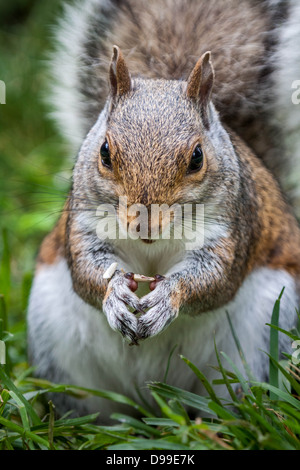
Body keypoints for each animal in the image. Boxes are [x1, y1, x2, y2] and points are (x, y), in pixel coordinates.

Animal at [27, 0, 300, 420]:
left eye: (197, 157)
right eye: (104, 152)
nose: (144, 225)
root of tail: (152, 396)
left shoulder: (234, 229)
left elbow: (215, 280)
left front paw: (168, 297)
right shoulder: (84, 224)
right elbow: (87, 273)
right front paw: (114, 295)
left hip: (260, 343)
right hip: (55, 342)